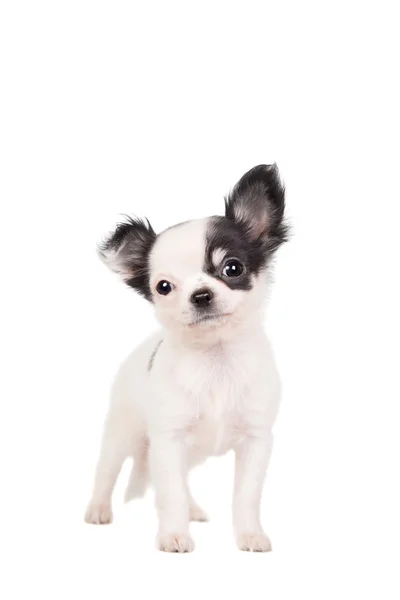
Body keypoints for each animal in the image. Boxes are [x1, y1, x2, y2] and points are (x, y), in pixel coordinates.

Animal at [86, 164, 290, 552]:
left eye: (232, 268)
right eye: (164, 287)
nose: (201, 295)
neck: (216, 358)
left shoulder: (256, 440)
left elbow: (245, 495)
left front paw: (250, 535)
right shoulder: (169, 438)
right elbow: (171, 493)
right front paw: (174, 535)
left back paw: (194, 509)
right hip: (123, 432)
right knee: (107, 472)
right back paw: (98, 510)